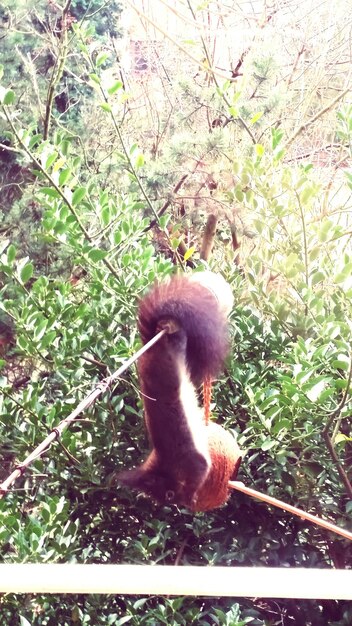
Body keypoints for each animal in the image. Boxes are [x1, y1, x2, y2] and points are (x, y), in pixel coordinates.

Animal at [117, 270, 241, 510]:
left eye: (168, 494)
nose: (176, 504)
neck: (166, 462)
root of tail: (152, 343)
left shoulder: (190, 459)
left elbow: (201, 469)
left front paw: (191, 496)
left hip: (174, 347)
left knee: (179, 339)